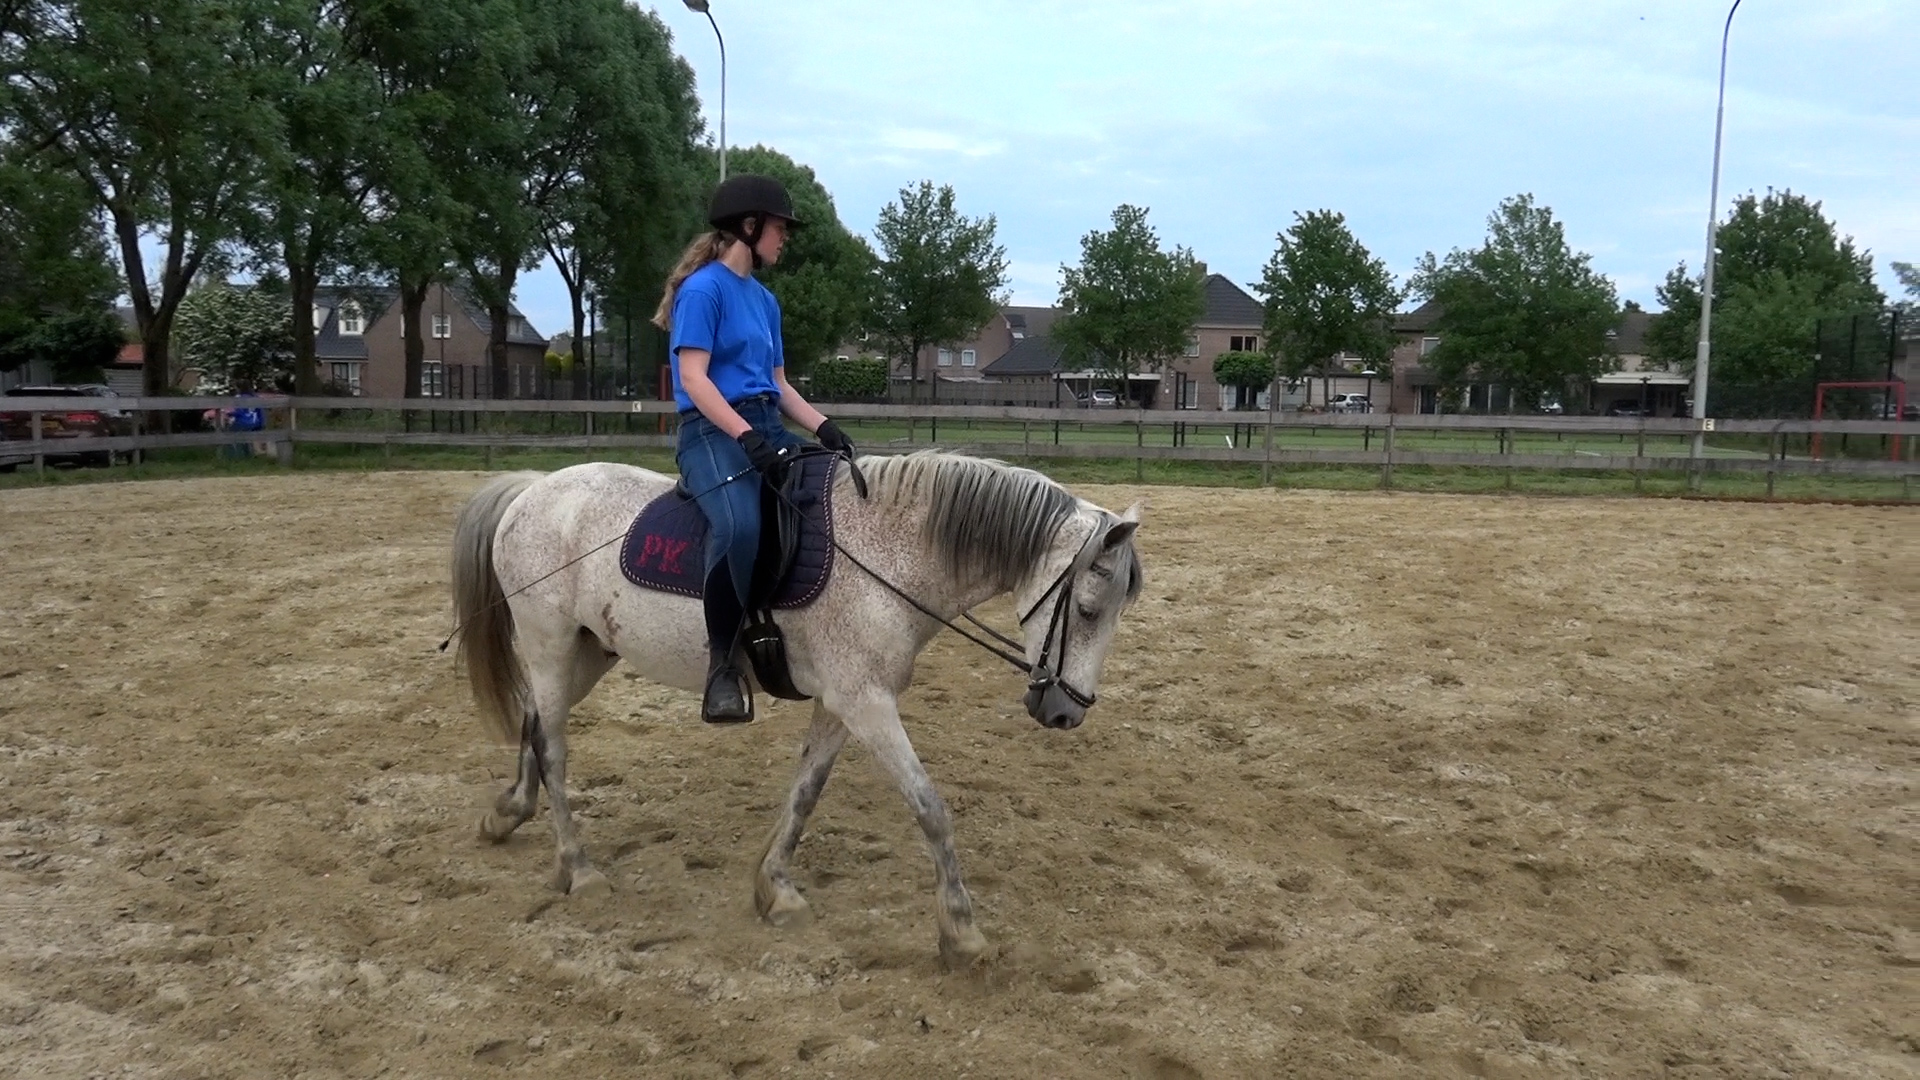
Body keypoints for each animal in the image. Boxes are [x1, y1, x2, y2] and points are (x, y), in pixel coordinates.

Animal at [449, 449, 1136, 960]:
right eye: (1088, 611)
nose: (1066, 712)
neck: (887, 551)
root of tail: (534, 490)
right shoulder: (867, 703)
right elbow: (931, 809)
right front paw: (961, 930)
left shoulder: (842, 702)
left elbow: (806, 792)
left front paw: (774, 889)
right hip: (550, 644)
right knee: (554, 749)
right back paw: (578, 866)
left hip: (587, 654)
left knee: (535, 723)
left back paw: (508, 813)